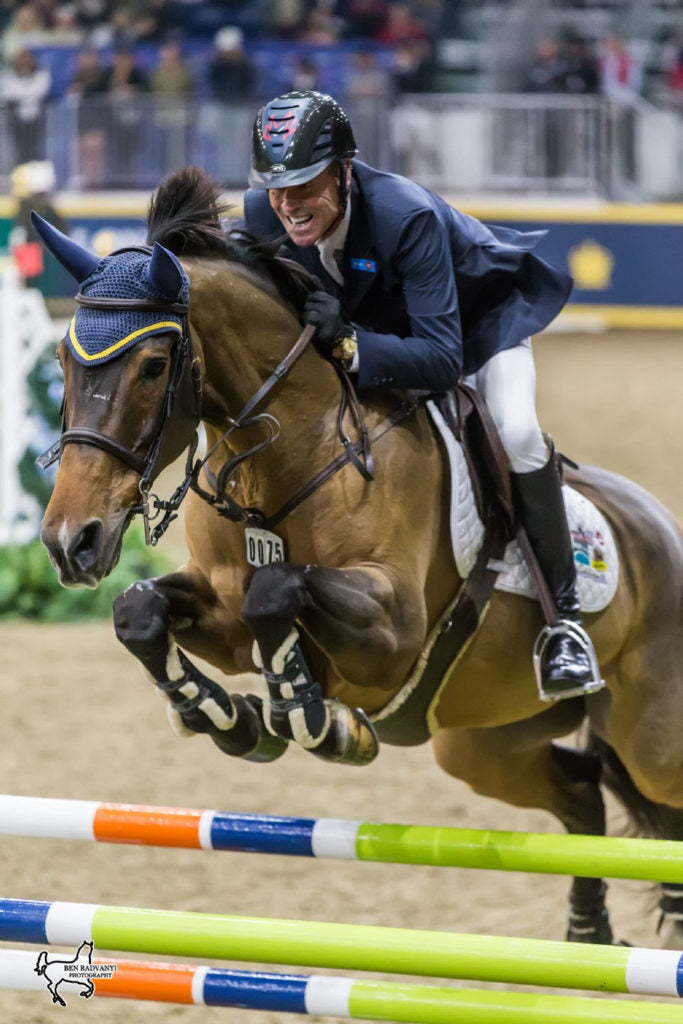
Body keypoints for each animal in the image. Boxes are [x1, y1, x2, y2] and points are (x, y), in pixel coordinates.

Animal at [34, 165, 683, 942]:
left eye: (155, 365)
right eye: (63, 359)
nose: (71, 541)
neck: (285, 457)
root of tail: (662, 529)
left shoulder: (393, 629)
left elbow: (278, 590)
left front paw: (311, 717)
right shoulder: (219, 611)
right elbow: (140, 612)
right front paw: (226, 716)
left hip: (650, 738)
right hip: (482, 741)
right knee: (582, 793)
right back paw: (587, 932)